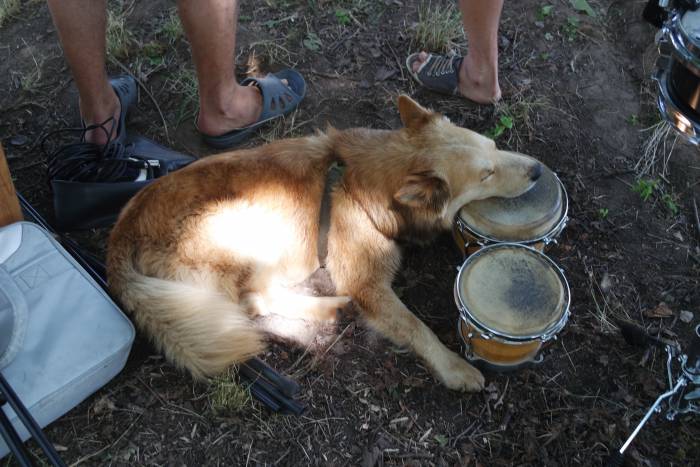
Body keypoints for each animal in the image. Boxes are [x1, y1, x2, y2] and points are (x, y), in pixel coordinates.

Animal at [106, 97, 540, 394]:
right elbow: (416, 327)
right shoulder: (367, 285)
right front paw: (453, 367)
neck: (360, 183)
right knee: (250, 301)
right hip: (240, 226)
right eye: (486, 175)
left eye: (494, 146)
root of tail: (121, 236)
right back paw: (327, 308)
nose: (537, 170)